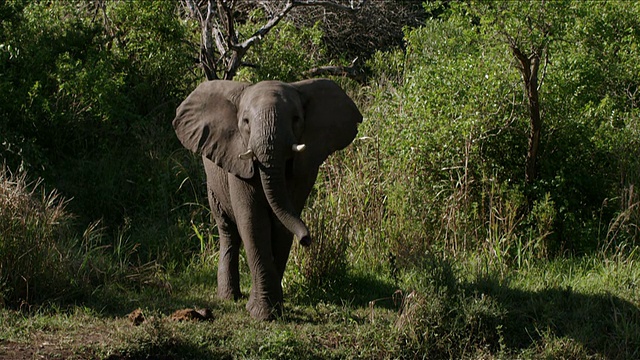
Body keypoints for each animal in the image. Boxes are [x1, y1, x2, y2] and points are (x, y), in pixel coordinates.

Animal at [172, 77, 362, 320]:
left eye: (296, 119)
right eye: (245, 122)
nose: (306, 239)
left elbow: (282, 226)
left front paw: (273, 309)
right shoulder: (237, 160)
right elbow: (253, 223)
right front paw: (262, 313)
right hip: (213, 180)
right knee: (228, 230)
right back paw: (228, 297)